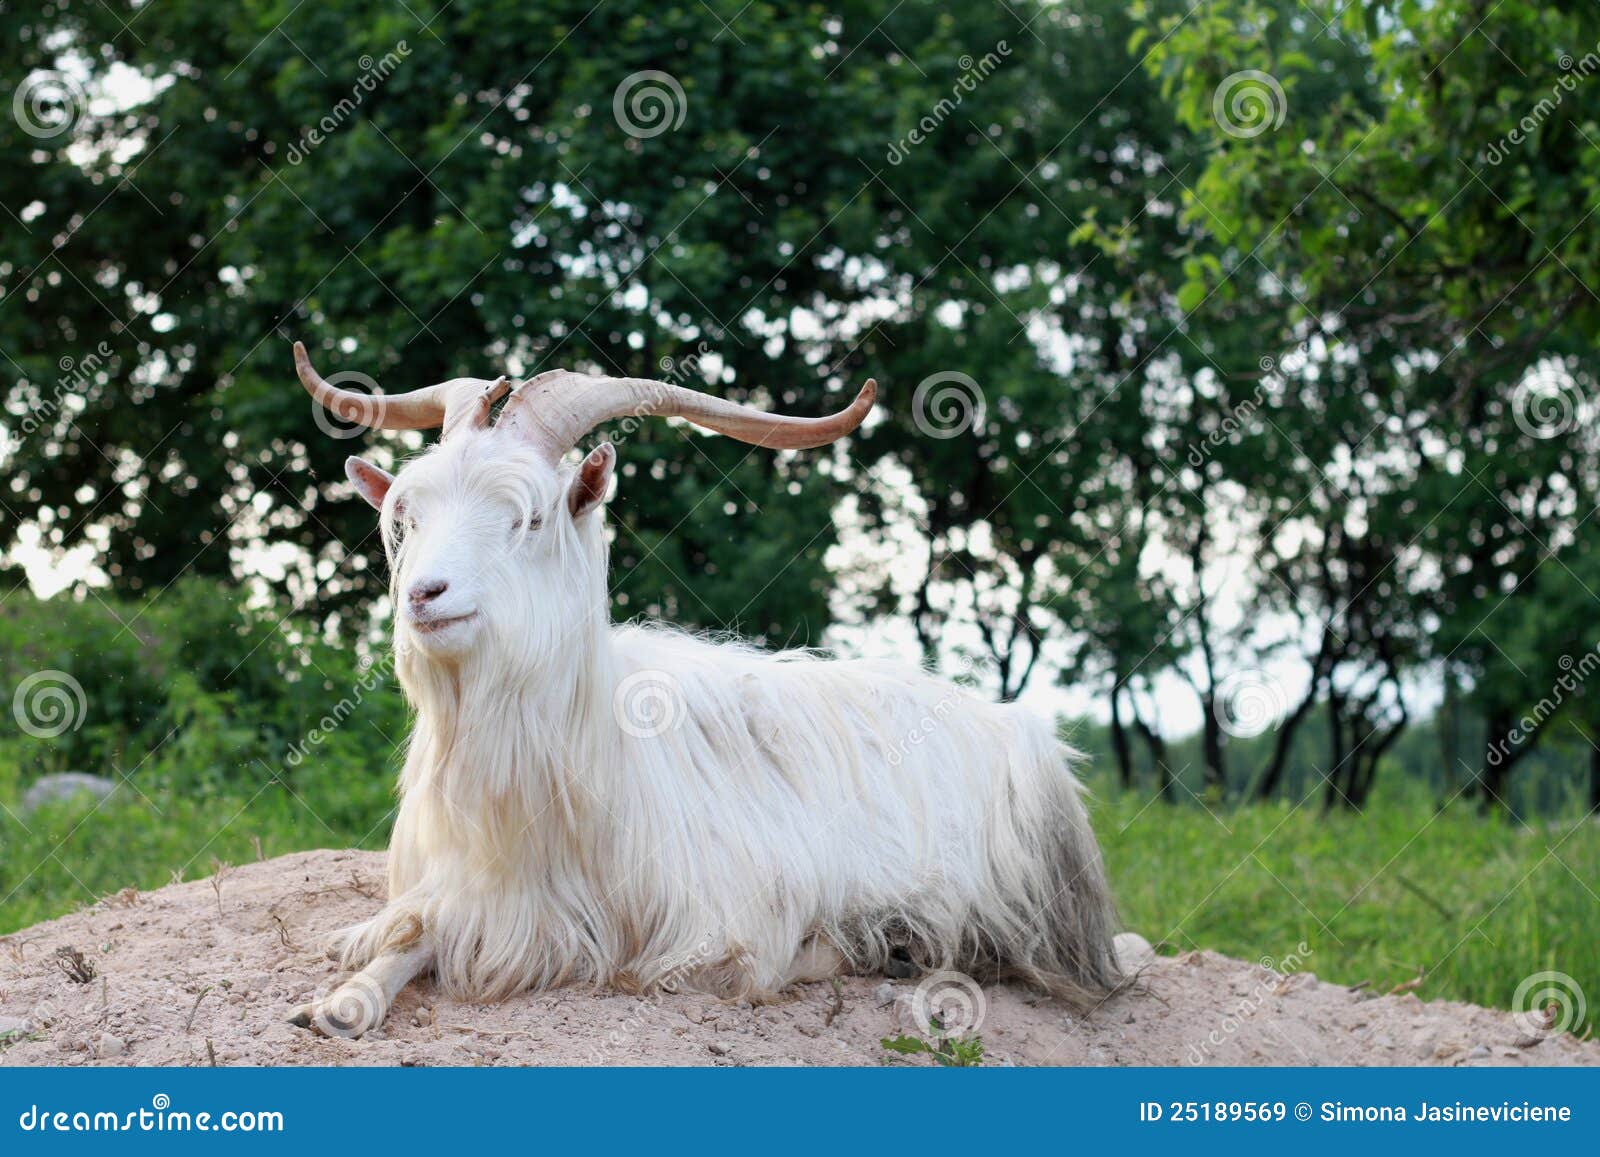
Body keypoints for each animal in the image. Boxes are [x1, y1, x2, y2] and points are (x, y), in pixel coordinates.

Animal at [286, 342, 1122, 1038]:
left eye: (530, 515)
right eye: (410, 516)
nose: (424, 594)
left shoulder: (707, 920)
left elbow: (698, 964)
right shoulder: (469, 892)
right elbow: (409, 933)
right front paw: (341, 1000)